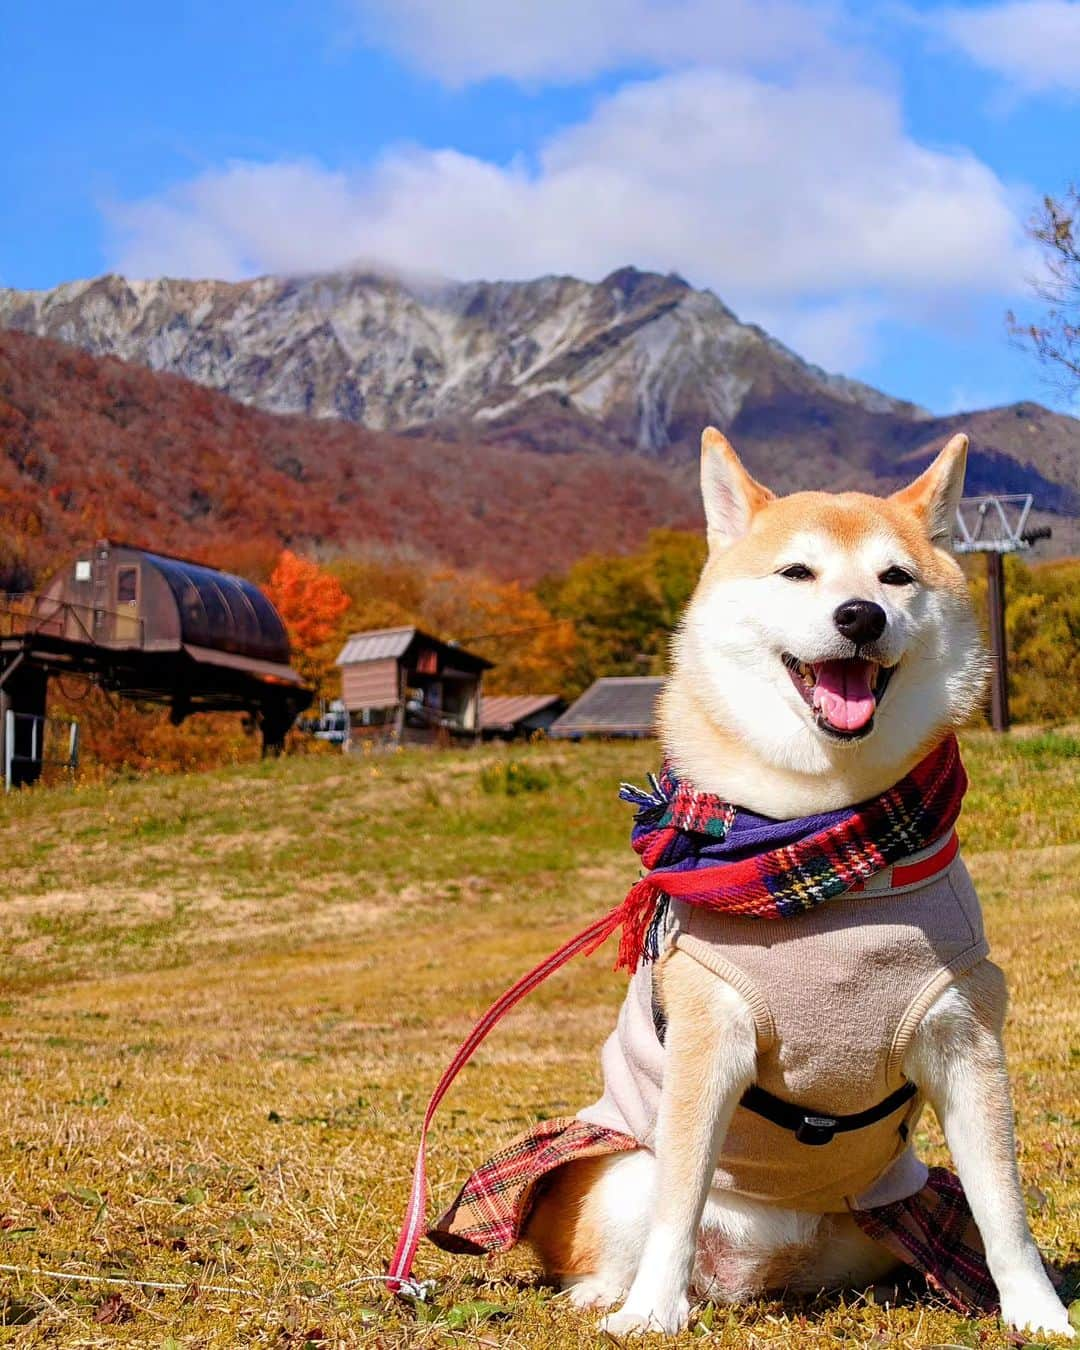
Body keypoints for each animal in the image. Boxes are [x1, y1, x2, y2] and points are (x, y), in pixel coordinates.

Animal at [523, 432, 1069, 1339]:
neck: (827, 841)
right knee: (623, 1227)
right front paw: (650, 1313)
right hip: (617, 1175)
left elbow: (1004, 1205)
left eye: (895, 578)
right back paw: (614, 1293)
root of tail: (754, 1272)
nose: (860, 617)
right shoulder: (706, 1034)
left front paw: (1039, 1313)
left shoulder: (966, 1033)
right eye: (797, 573)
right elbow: (680, 1195)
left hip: (891, 1208)